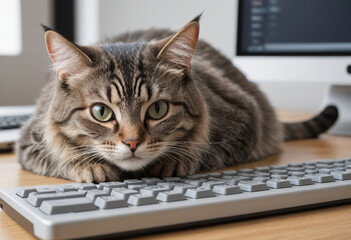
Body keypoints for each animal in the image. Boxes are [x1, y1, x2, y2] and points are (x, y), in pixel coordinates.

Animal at [16, 15, 338, 183]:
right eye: (101, 112)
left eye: (158, 109)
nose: (132, 142)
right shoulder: (30, 140)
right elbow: (61, 155)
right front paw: (90, 167)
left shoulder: (246, 122)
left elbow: (202, 149)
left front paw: (172, 162)